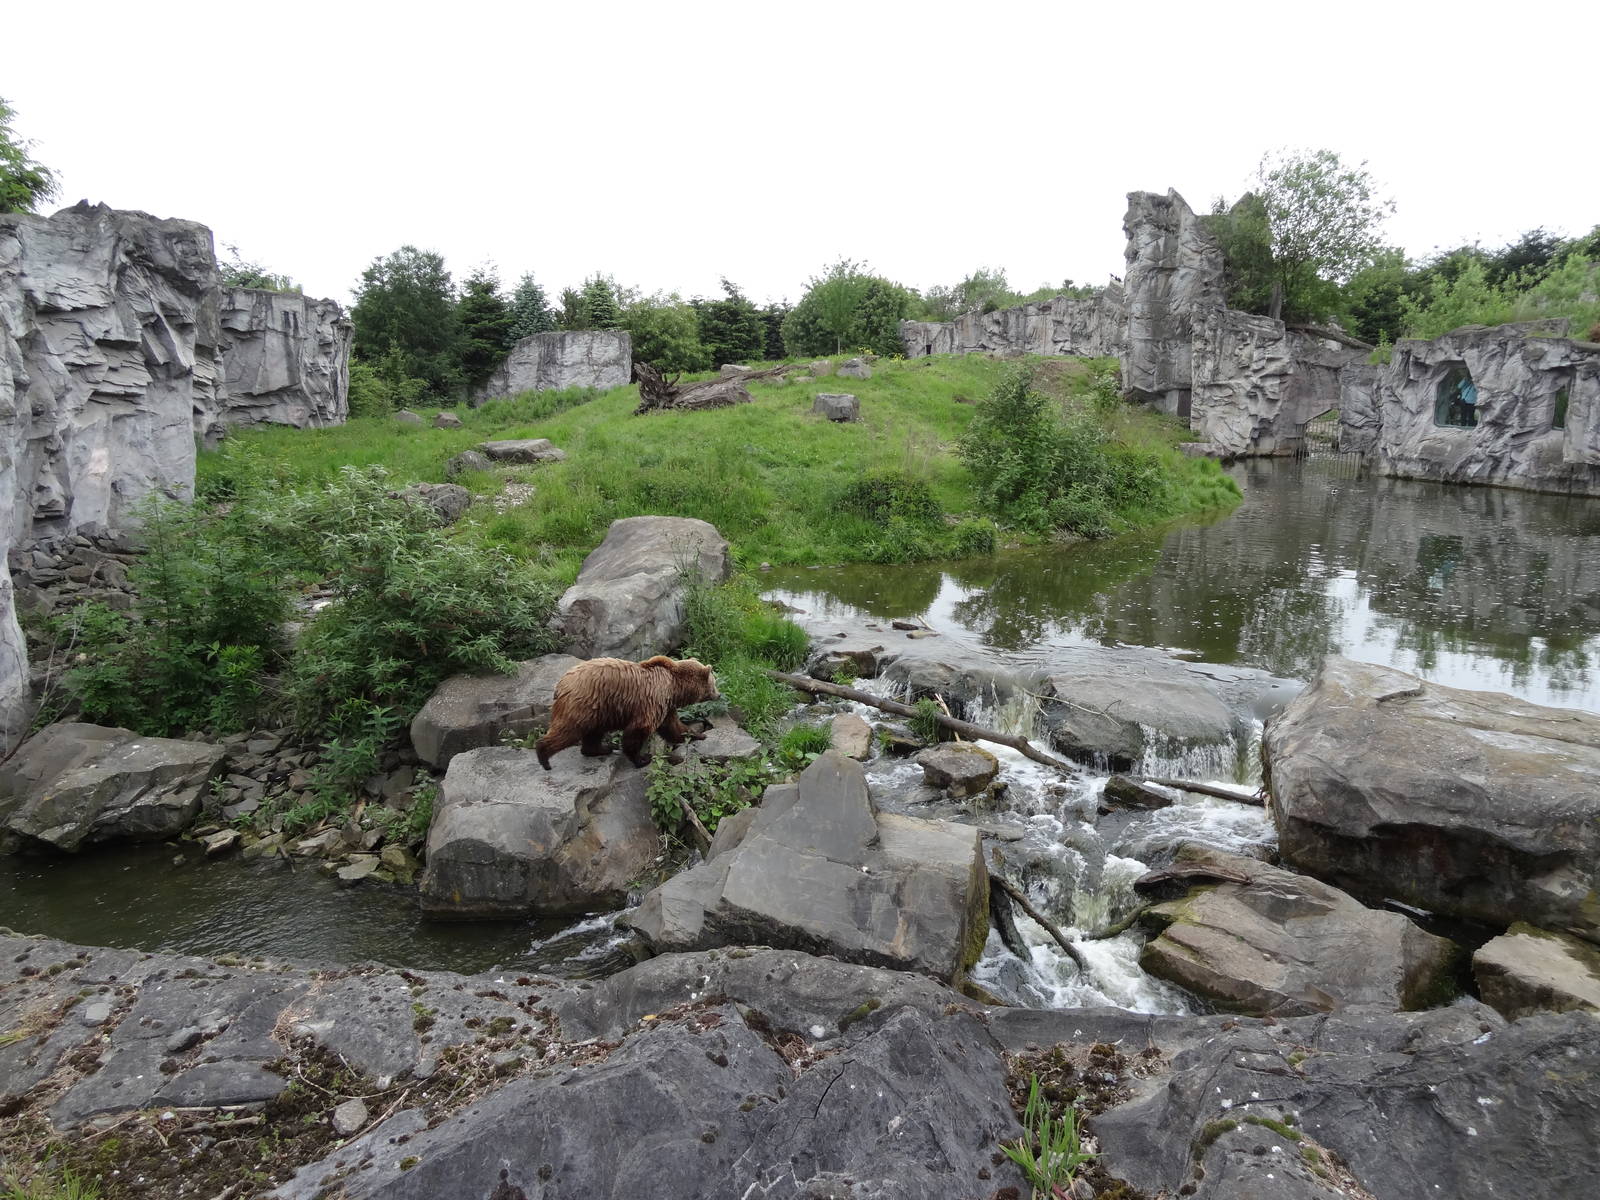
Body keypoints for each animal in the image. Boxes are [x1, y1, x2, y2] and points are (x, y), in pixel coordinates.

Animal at [534, 655, 720, 770]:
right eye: (714, 683)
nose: (719, 694)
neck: (674, 687)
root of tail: (561, 683)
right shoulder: (653, 700)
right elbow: (639, 729)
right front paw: (642, 759)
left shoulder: (667, 706)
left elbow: (673, 727)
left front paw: (698, 734)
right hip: (583, 702)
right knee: (570, 729)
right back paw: (544, 756)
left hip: (598, 710)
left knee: (593, 732)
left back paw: (600, 749)